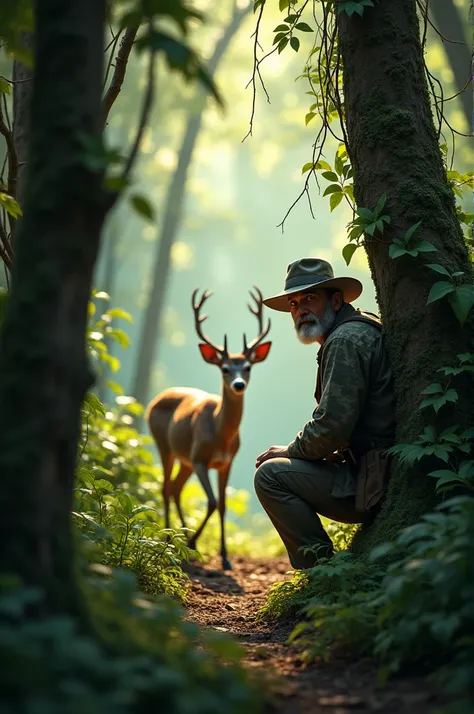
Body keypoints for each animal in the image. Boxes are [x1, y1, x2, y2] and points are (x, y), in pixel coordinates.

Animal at [145, 286, 270, 572]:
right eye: (224, 368)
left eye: (248, 367)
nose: (238, 384)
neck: (221, 435)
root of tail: (156, 399)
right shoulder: (200, 458)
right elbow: (212, 502)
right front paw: (192, 543)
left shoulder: (226, 463)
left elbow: (222, 504)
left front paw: (224, 556)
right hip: (165, 446)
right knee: (165, 488)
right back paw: (170, 539)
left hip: (185, 461)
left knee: (175, 488)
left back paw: (179, 538)